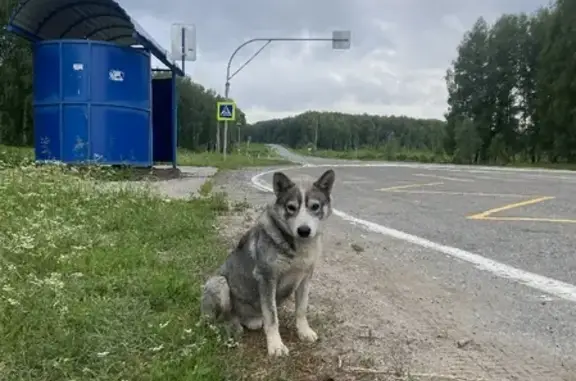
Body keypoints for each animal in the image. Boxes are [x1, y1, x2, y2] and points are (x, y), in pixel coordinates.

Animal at [200, 169, 336, 356]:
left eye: (315, 206)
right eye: (291, 207)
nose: (304, 230)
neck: (297, 247)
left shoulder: (305, 278)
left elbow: (301, 309)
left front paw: (304, 332)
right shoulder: (266, 278)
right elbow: (272, 317)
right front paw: (276, 345)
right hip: (218, 283)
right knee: (220, 318)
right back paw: (232, 325)